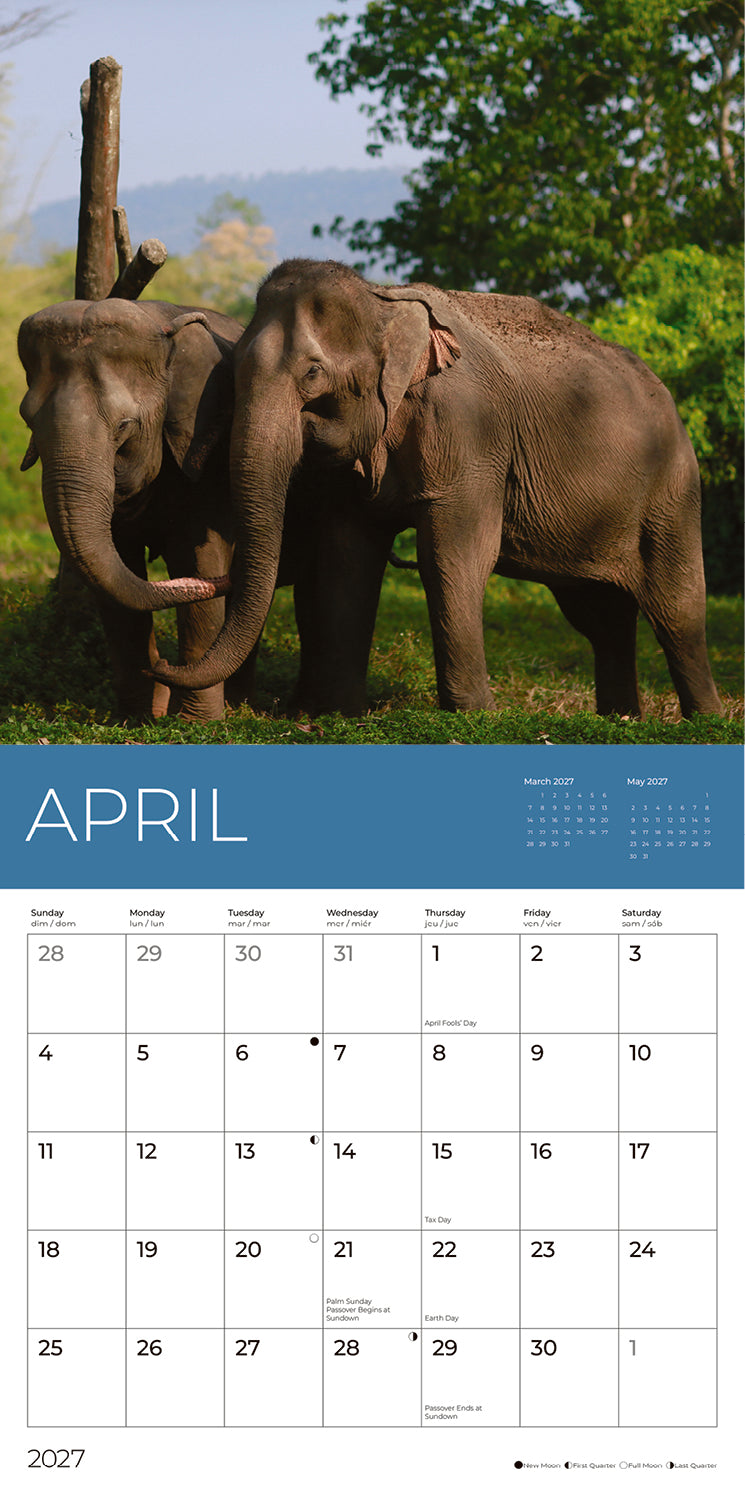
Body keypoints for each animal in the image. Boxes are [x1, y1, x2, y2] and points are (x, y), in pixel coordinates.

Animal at [17, 296, 250, 720]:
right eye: (28, 421)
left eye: (124, 427)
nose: (162, 665)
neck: (160, 321)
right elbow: (119, 572)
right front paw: (138, 719)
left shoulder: (207, 452)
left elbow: (200, 558)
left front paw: (198, 723)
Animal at [147, 257, 722, 719]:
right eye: (232, 375)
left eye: (313, 374)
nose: (158, 662)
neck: (383, 300)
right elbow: (346, 557)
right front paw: (339, 713)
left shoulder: (472, 434)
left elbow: (453, 554)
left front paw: (476, 714)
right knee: (601, 617)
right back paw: (622, 720)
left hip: (672, 491)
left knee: (677, 607)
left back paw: (704, 720)